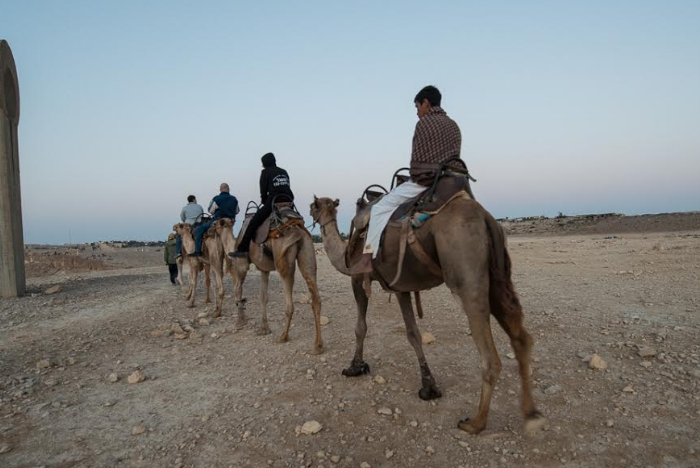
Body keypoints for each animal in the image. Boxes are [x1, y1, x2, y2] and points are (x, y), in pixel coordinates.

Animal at [213, 216, 326, 354]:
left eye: (216, 223)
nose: (210, 229)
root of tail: (298, 232)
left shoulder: (242, 265)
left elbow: (237, 290)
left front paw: (239, 322)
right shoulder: (264, 269)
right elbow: (263, 297)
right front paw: (264, 328)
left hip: (282, 259)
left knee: (290, 303)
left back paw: (283, 336)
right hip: (307, 251)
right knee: (316, 297)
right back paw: (317, 346)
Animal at [310, 195, 548, 436]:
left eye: (314, 206)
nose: (307, 214)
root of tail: (486, 217)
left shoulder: (358, 279)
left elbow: (360, 327)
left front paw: (354, 367)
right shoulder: (400, 287)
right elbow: (413, 333)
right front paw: (429, 387)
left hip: (466, 274)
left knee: (490, 357)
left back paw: (475, 423)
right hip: (498, 275)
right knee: (521, 337)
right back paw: (532, 415)